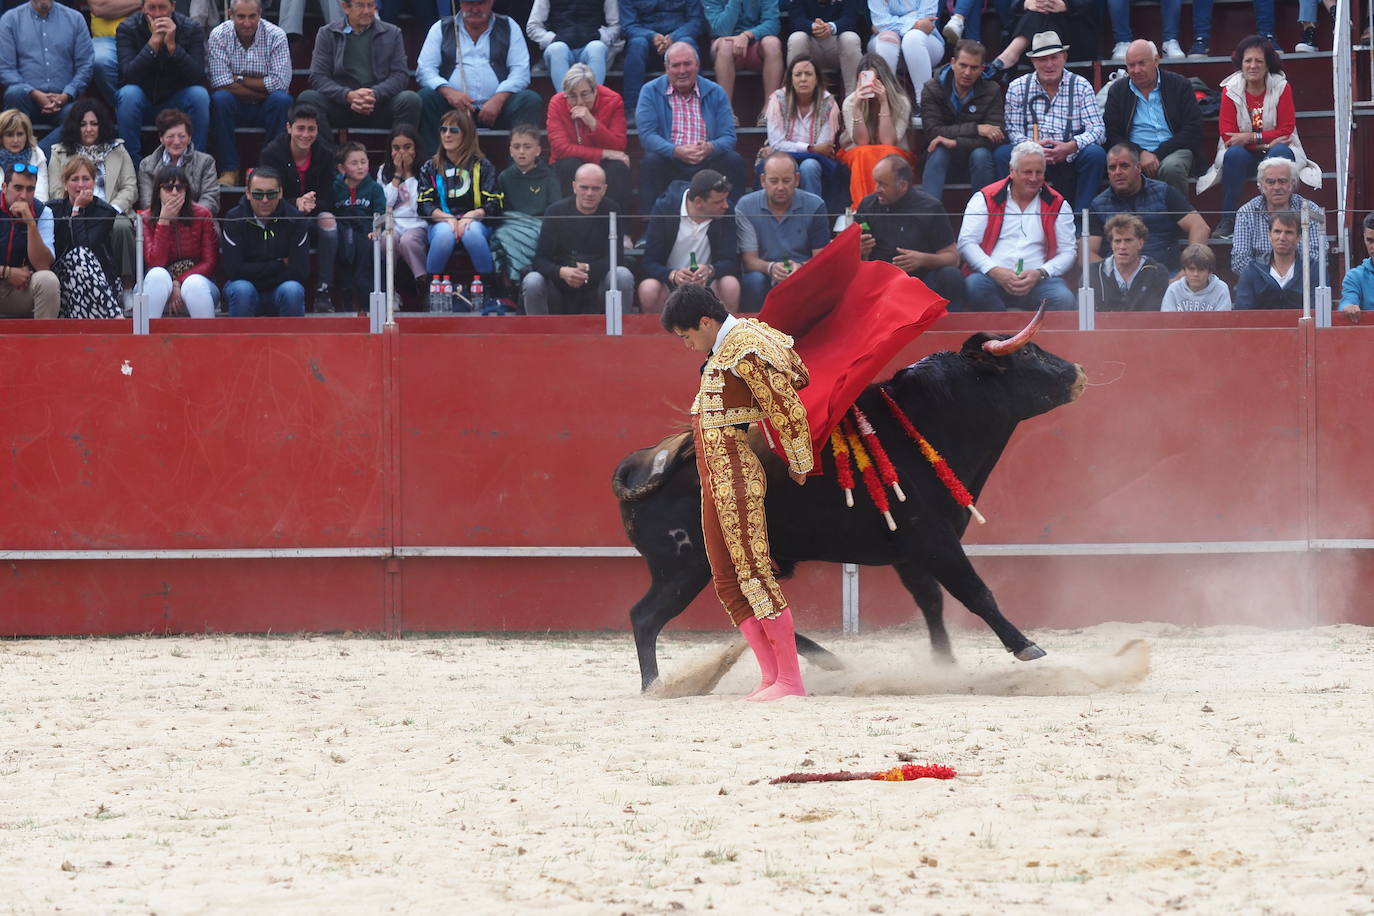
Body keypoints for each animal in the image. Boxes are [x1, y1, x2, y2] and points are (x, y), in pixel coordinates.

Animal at [612, 329, 1082, 686]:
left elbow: (931, 601)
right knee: (645, 617)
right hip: (683, 567)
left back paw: (825, 659)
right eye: (1029, 352)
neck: (925, 423)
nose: (1077, 371)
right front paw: (1027, 646)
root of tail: (640, 463)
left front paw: (944, 663)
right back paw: (656, 685)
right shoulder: (935, 540)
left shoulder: (910, 551)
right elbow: (975, 592)